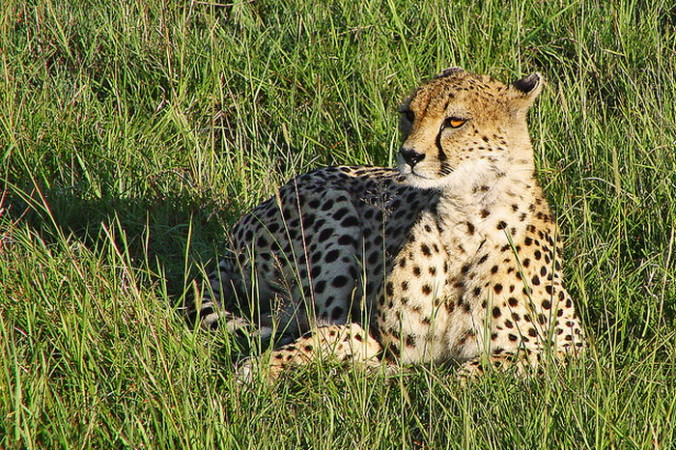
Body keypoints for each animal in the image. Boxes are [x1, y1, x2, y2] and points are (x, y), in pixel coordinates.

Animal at [187, 68, 586, 382]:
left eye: (455, 121)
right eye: (409, 114)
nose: (409, 155)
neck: (467, 214)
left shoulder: (571, 346)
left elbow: (474, 369)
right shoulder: (388, 342)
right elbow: (343, 339)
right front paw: (261, 367)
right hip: (333, 204)